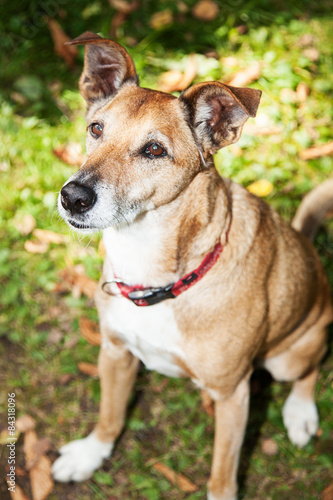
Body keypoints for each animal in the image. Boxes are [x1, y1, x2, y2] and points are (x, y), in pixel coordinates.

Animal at [52, 32, 332, 500]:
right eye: (96, 129)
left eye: (154, 150)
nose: (73, 197)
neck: (155, 272)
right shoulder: (114, 352)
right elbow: (110, 416)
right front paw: (90, 454)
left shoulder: (233, 395)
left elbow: (222, 474)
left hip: (288, 356)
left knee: (309, 367)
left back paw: (300, 412)